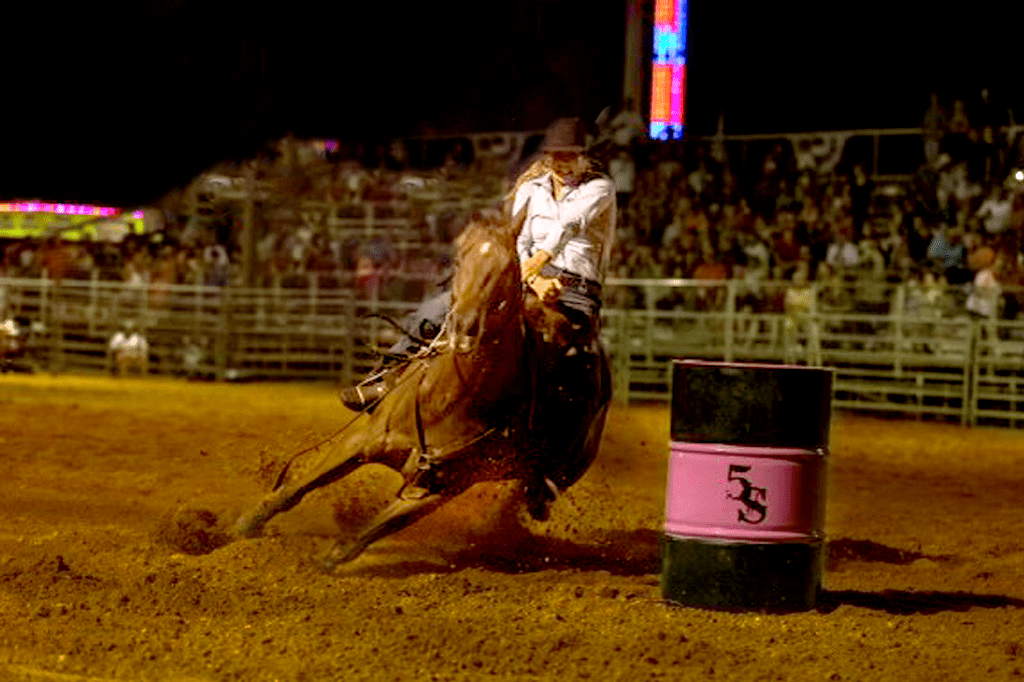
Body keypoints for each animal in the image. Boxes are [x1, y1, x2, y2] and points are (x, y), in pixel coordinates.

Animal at [234, 206, 610, 569]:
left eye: (507, 267)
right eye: (459, 259)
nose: (464, 324)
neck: (449, 400)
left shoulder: (435, 490)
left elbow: (361, 538)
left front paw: (328, 559)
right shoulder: (359, 441)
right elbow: (295, 490)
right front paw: (244, 526)